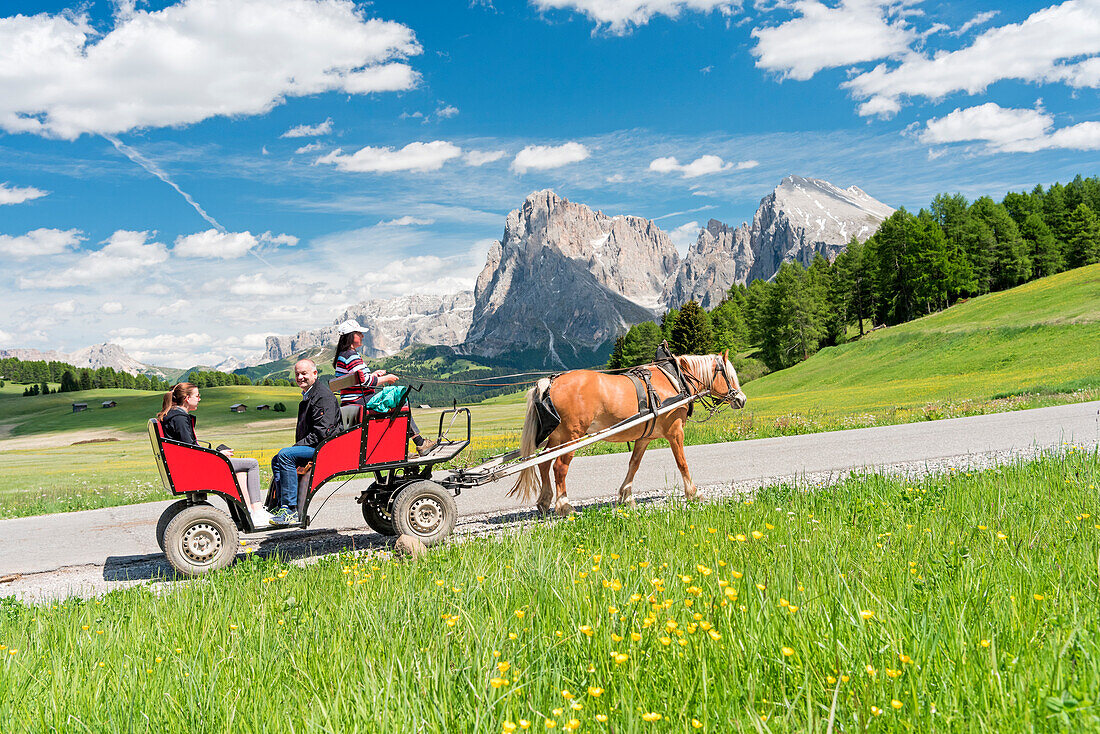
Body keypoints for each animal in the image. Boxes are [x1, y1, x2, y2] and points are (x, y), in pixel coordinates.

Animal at [506, 352, 748, 517]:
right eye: (729, 375)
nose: (741, 399)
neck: (675, 381)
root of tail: (550, 382)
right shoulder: (675, 432)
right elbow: (682, 463)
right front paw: (693, 492)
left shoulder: (644, 437)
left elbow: (634, 464)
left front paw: (626, 495)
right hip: (572, 436)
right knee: (559, 467)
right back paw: (564, 505)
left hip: (557, 437)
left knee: (544, 463)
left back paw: (544, 501)